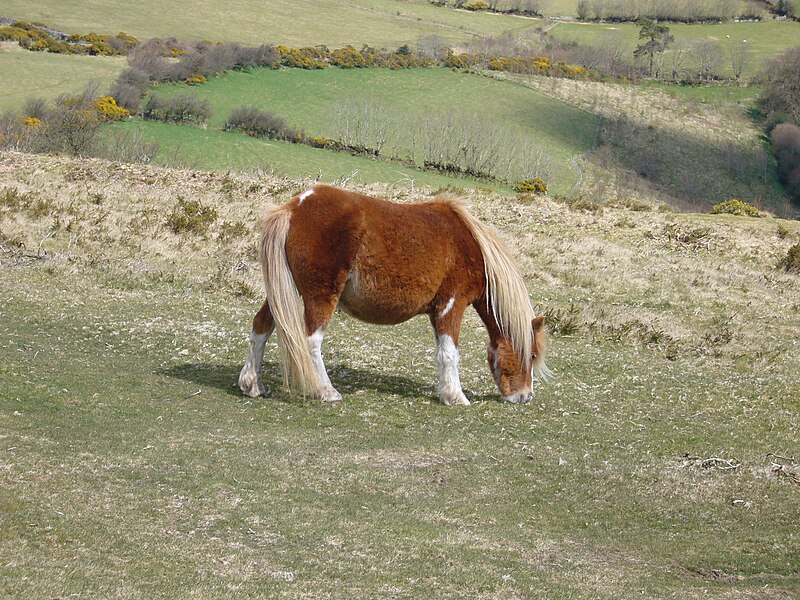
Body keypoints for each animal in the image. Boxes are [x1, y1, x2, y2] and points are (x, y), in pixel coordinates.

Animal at [238, 185, 552, 406]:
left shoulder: (437, 311)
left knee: (261, 328)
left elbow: (441, 353)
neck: (471, 246)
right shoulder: (452, 305)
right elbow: (450, 353)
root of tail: (294, 207)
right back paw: (326, 391)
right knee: (310, 341)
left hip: (285, 293)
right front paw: (456, 397)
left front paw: (445, 392)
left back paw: (252, 385)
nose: (524, 397)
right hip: (319, 297)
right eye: (531, 354)